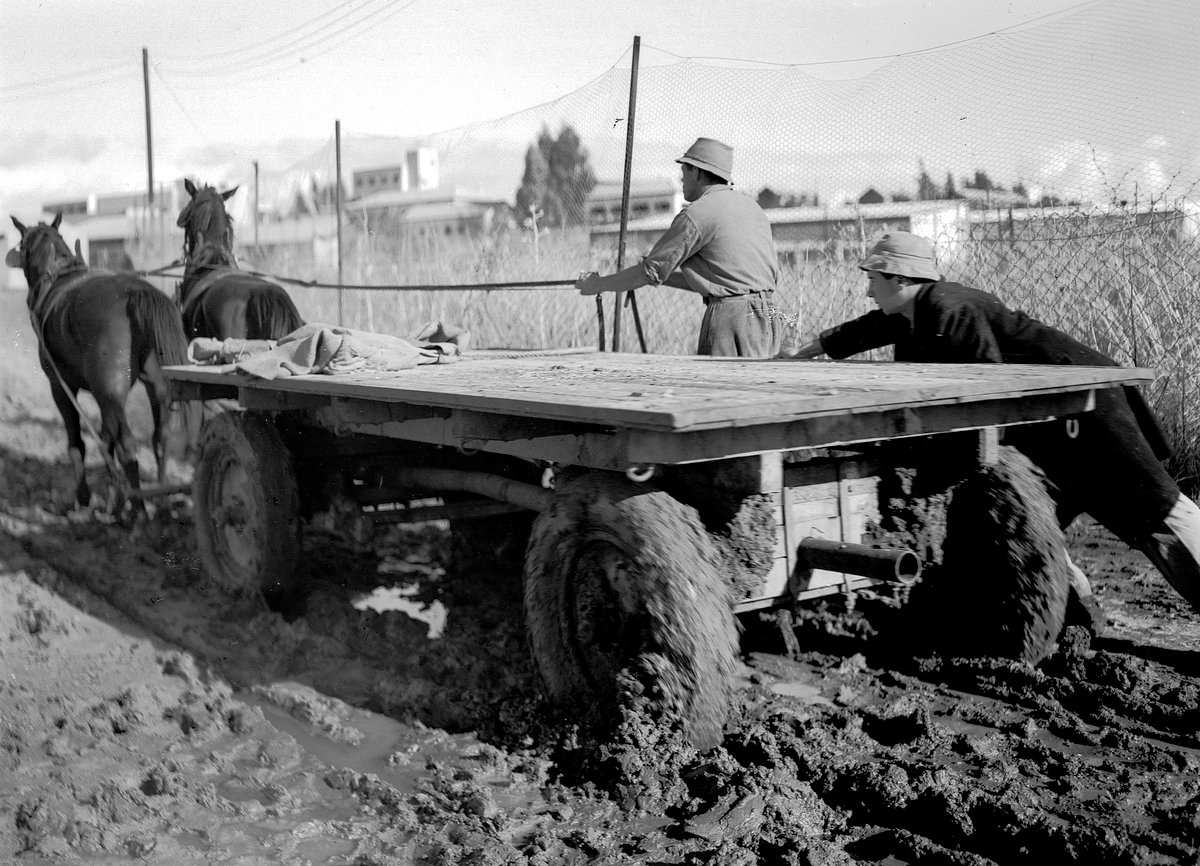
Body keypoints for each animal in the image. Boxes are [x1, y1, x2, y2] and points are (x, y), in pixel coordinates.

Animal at [6, 214, 194, 513]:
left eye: (22, 244)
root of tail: (136, 294)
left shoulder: (61, 387)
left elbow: (78, 443)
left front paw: (83, 498)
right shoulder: (101, 395)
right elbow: (107, 439)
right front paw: (115, 500)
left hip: (110, 391)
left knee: (128, 446)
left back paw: (139, 511)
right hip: (155, 386)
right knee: (160, 437)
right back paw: (160, 499)